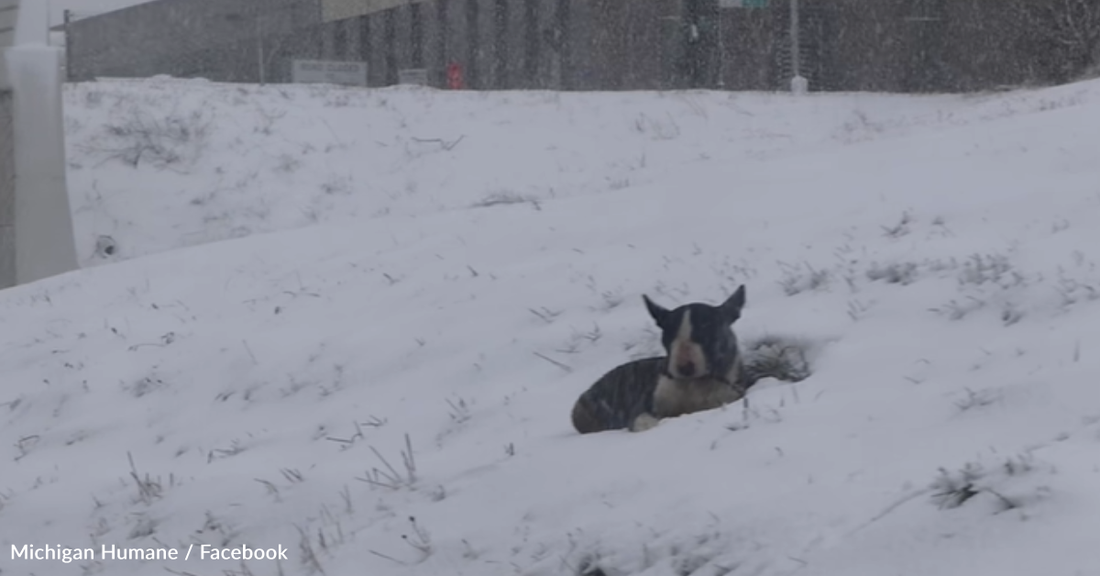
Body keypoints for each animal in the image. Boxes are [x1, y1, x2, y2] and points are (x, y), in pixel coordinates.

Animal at [572, 285, 752, 435]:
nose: (684, 367)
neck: (695, 385)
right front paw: (646, 425)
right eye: (668, 337)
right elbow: (641, 416)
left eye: (707, 333)